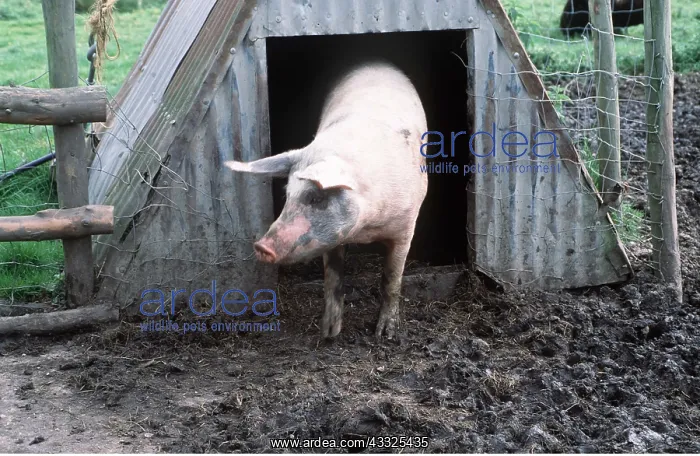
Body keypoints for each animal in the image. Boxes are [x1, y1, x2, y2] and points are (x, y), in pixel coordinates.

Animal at [224, 61, 428, 340]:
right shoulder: (332, 240)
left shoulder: (406, 226)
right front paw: (329, 334)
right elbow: (333, 279)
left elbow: (392, 278)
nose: (262, 246)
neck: (367, 225)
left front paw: (384, 334)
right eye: (287, 194)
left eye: (316, 197)